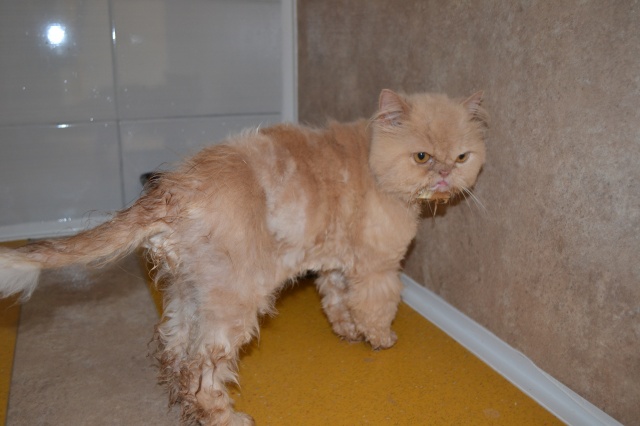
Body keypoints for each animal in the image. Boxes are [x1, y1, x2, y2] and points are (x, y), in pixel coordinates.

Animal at [0, 89, 488, 425]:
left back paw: (180, 401)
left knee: (173, 352)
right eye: (423, 156)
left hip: (189, 292)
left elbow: (336, 301)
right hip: (233, 303)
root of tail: (173, 189)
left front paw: (347, 331)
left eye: (462, 156)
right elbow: (376, 306)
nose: (445, 175)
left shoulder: (335, 262)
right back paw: (224, 418)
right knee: (201, 371)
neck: (373, 159)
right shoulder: (378, 267)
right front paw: (380, 338)